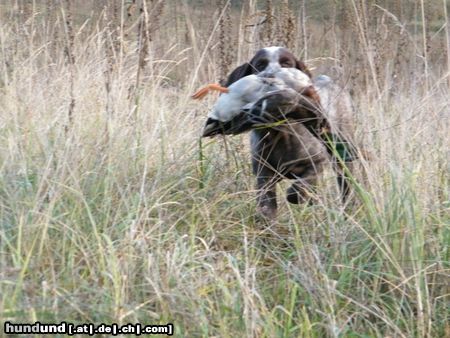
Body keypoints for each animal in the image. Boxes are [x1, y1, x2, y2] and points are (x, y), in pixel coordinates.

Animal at [221, 45, 356, 219]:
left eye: (286, 63)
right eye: (260, 64)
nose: (270, 77)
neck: (280, 134)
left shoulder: (317, 162)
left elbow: (298, 189)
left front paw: (296, 194)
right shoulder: (264, 175)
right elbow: (267, 208)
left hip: (343, 157)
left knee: (345, 186)